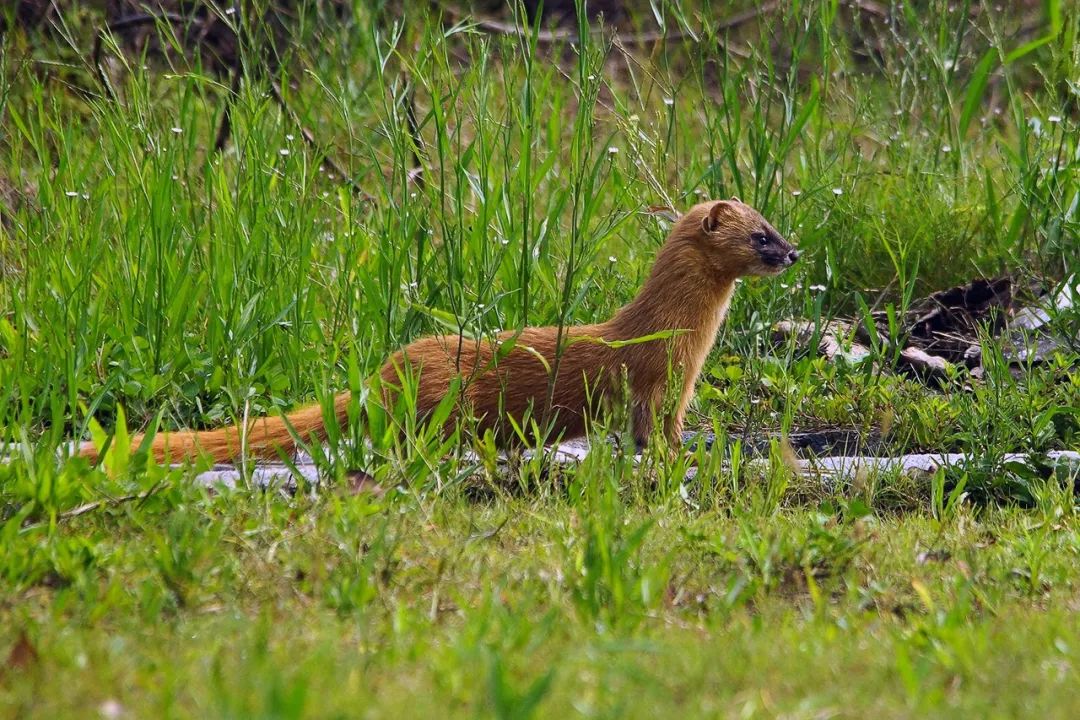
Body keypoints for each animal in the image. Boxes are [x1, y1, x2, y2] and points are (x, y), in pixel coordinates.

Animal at [79, 199, 799, 464]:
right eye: (760, 235)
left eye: (775, 224)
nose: (794, 252)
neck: (683, 338)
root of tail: (383, 374)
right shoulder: (653, 383)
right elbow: (650, 432)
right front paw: (679, 457)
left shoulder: (679, 389)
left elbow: (670, 429)